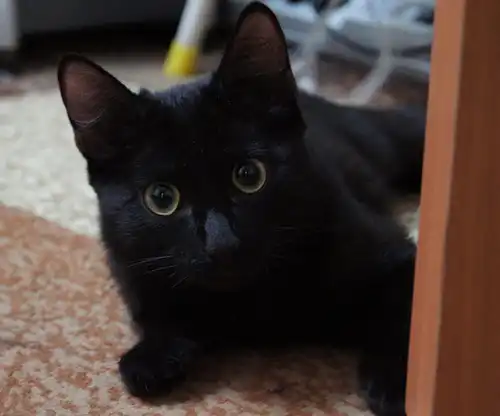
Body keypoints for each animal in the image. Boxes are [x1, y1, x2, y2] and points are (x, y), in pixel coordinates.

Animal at [57, 2, 425, 415]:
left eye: (249, 176)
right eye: (162, 198)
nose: (222, 244)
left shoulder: (394, 252)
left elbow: (405, 313)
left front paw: (396, 382)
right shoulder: (128, 266)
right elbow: (156, 313)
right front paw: (153, 356)